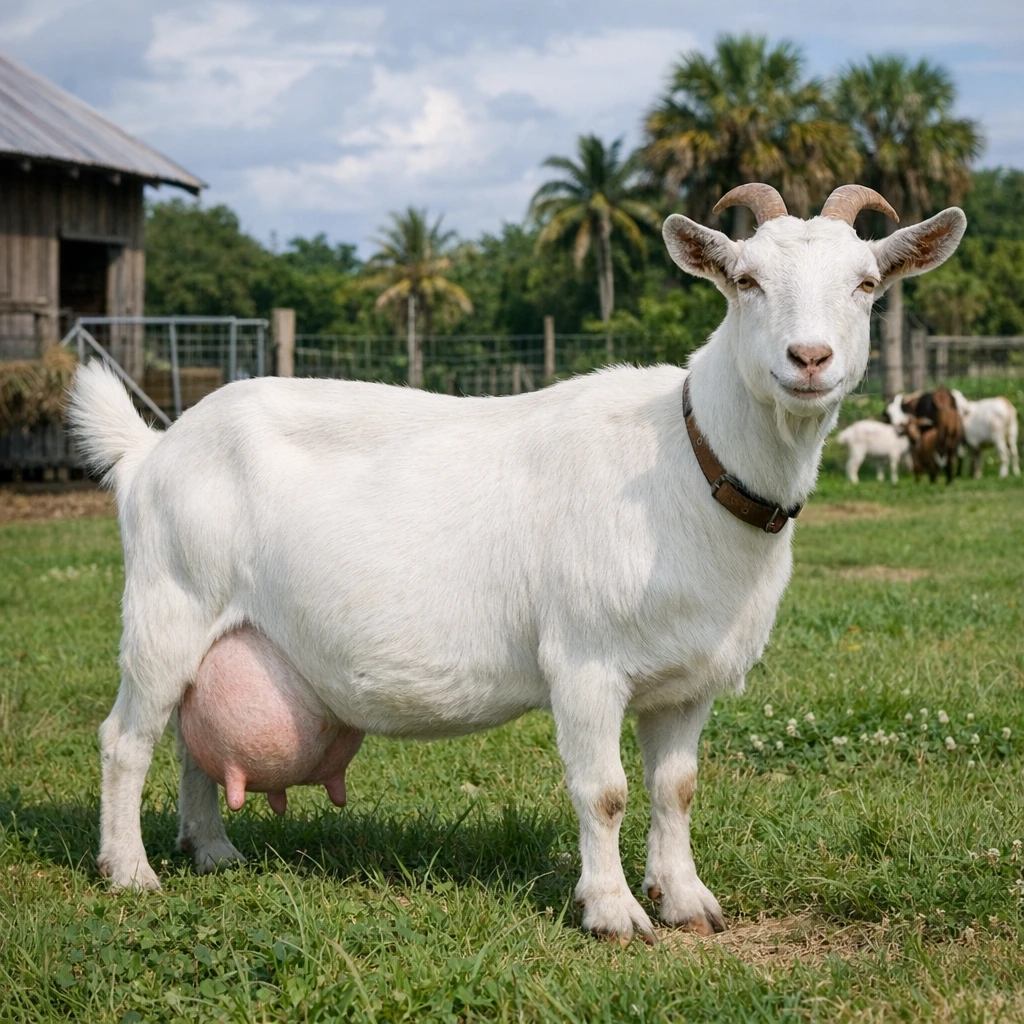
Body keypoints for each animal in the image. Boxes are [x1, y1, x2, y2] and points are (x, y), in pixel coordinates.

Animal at [68, 183, 965, 943]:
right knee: (126, 737)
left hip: (216, 630)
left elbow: (675, 789)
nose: (808, 359)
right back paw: (130, 871)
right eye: (745, 280)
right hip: (169, 603)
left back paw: (212, 849)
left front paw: (685, 901)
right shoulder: (585, 661)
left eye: (866, 285)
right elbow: (604, 791)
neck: (688, 459)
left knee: (191, 739)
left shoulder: (689, 679)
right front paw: (611, 913)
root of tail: (150, 451)